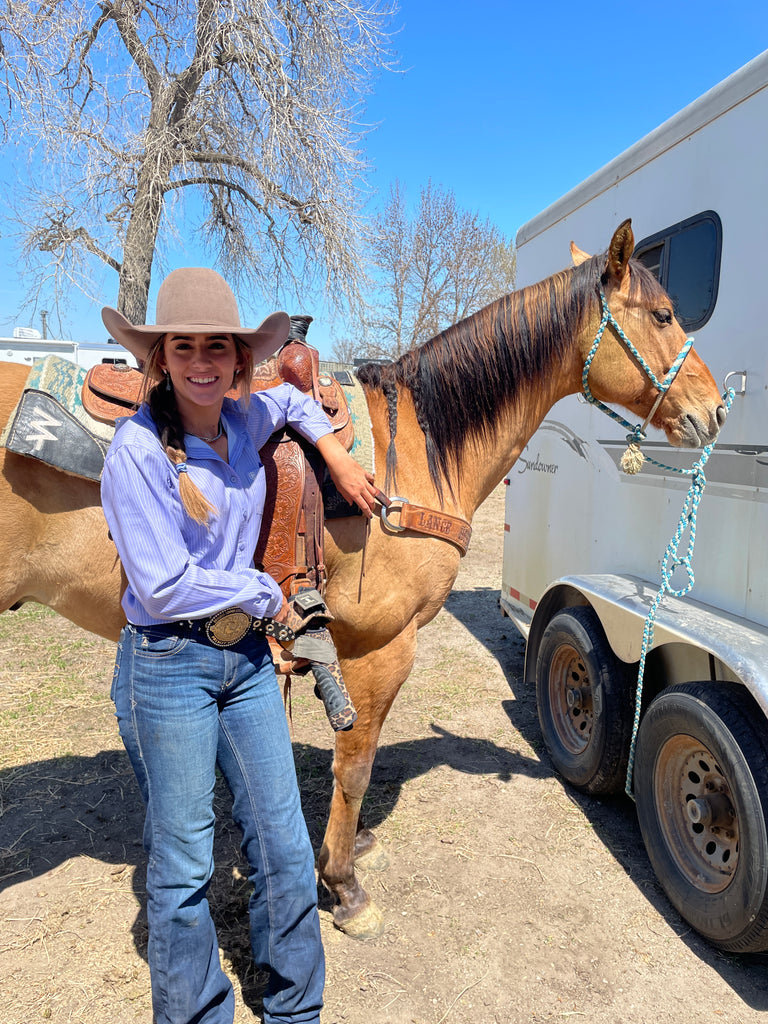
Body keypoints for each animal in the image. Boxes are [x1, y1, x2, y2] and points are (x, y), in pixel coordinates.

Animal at [0, 221, 726, 938]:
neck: (417, 451)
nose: (716, 410)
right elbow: (355, 765)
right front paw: (343, 885)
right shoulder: (382, 647)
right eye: (664, 314)